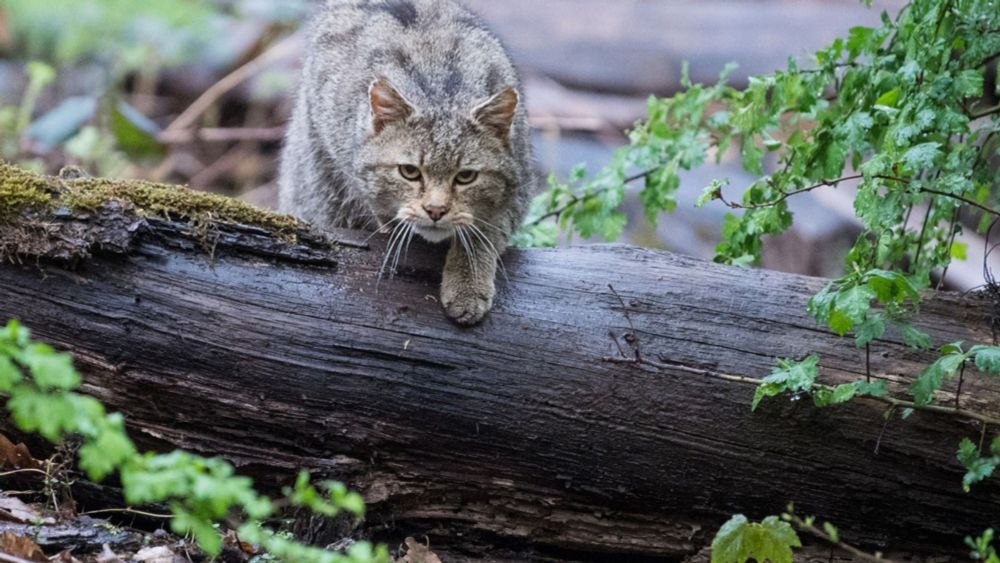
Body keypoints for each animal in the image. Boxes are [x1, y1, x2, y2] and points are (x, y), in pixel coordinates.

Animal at [278, 0, 536, 326]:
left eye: (466, 177)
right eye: (409, 172)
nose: (436, 210)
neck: (439, 89)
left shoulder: (520, 187)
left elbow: (485, 234)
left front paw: (467, 285)